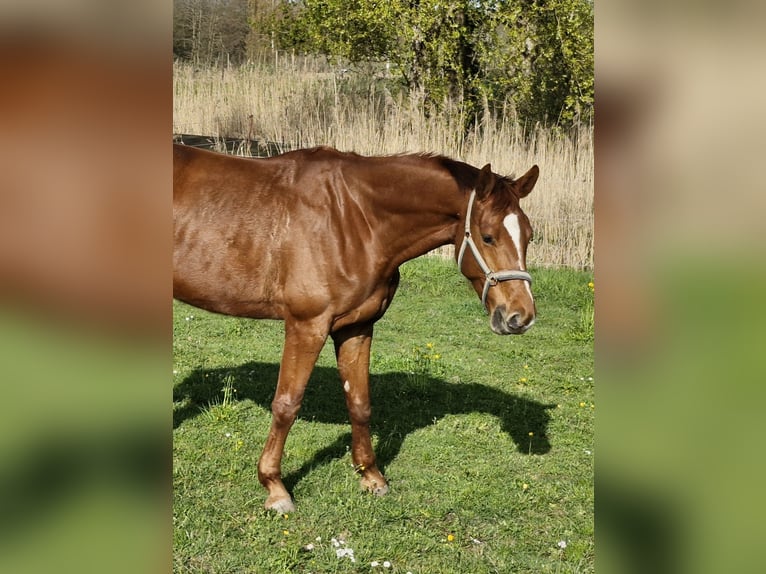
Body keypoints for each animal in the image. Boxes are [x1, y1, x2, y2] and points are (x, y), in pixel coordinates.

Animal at [173, 143, 539, 513]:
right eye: (488, 236)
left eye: (529, 235)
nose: (520, 316)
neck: (355, 220)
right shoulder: (307, 326)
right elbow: (287, 404)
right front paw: (275, 487)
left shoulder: (357, 327)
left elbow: (360, 402)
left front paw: (371, 476)